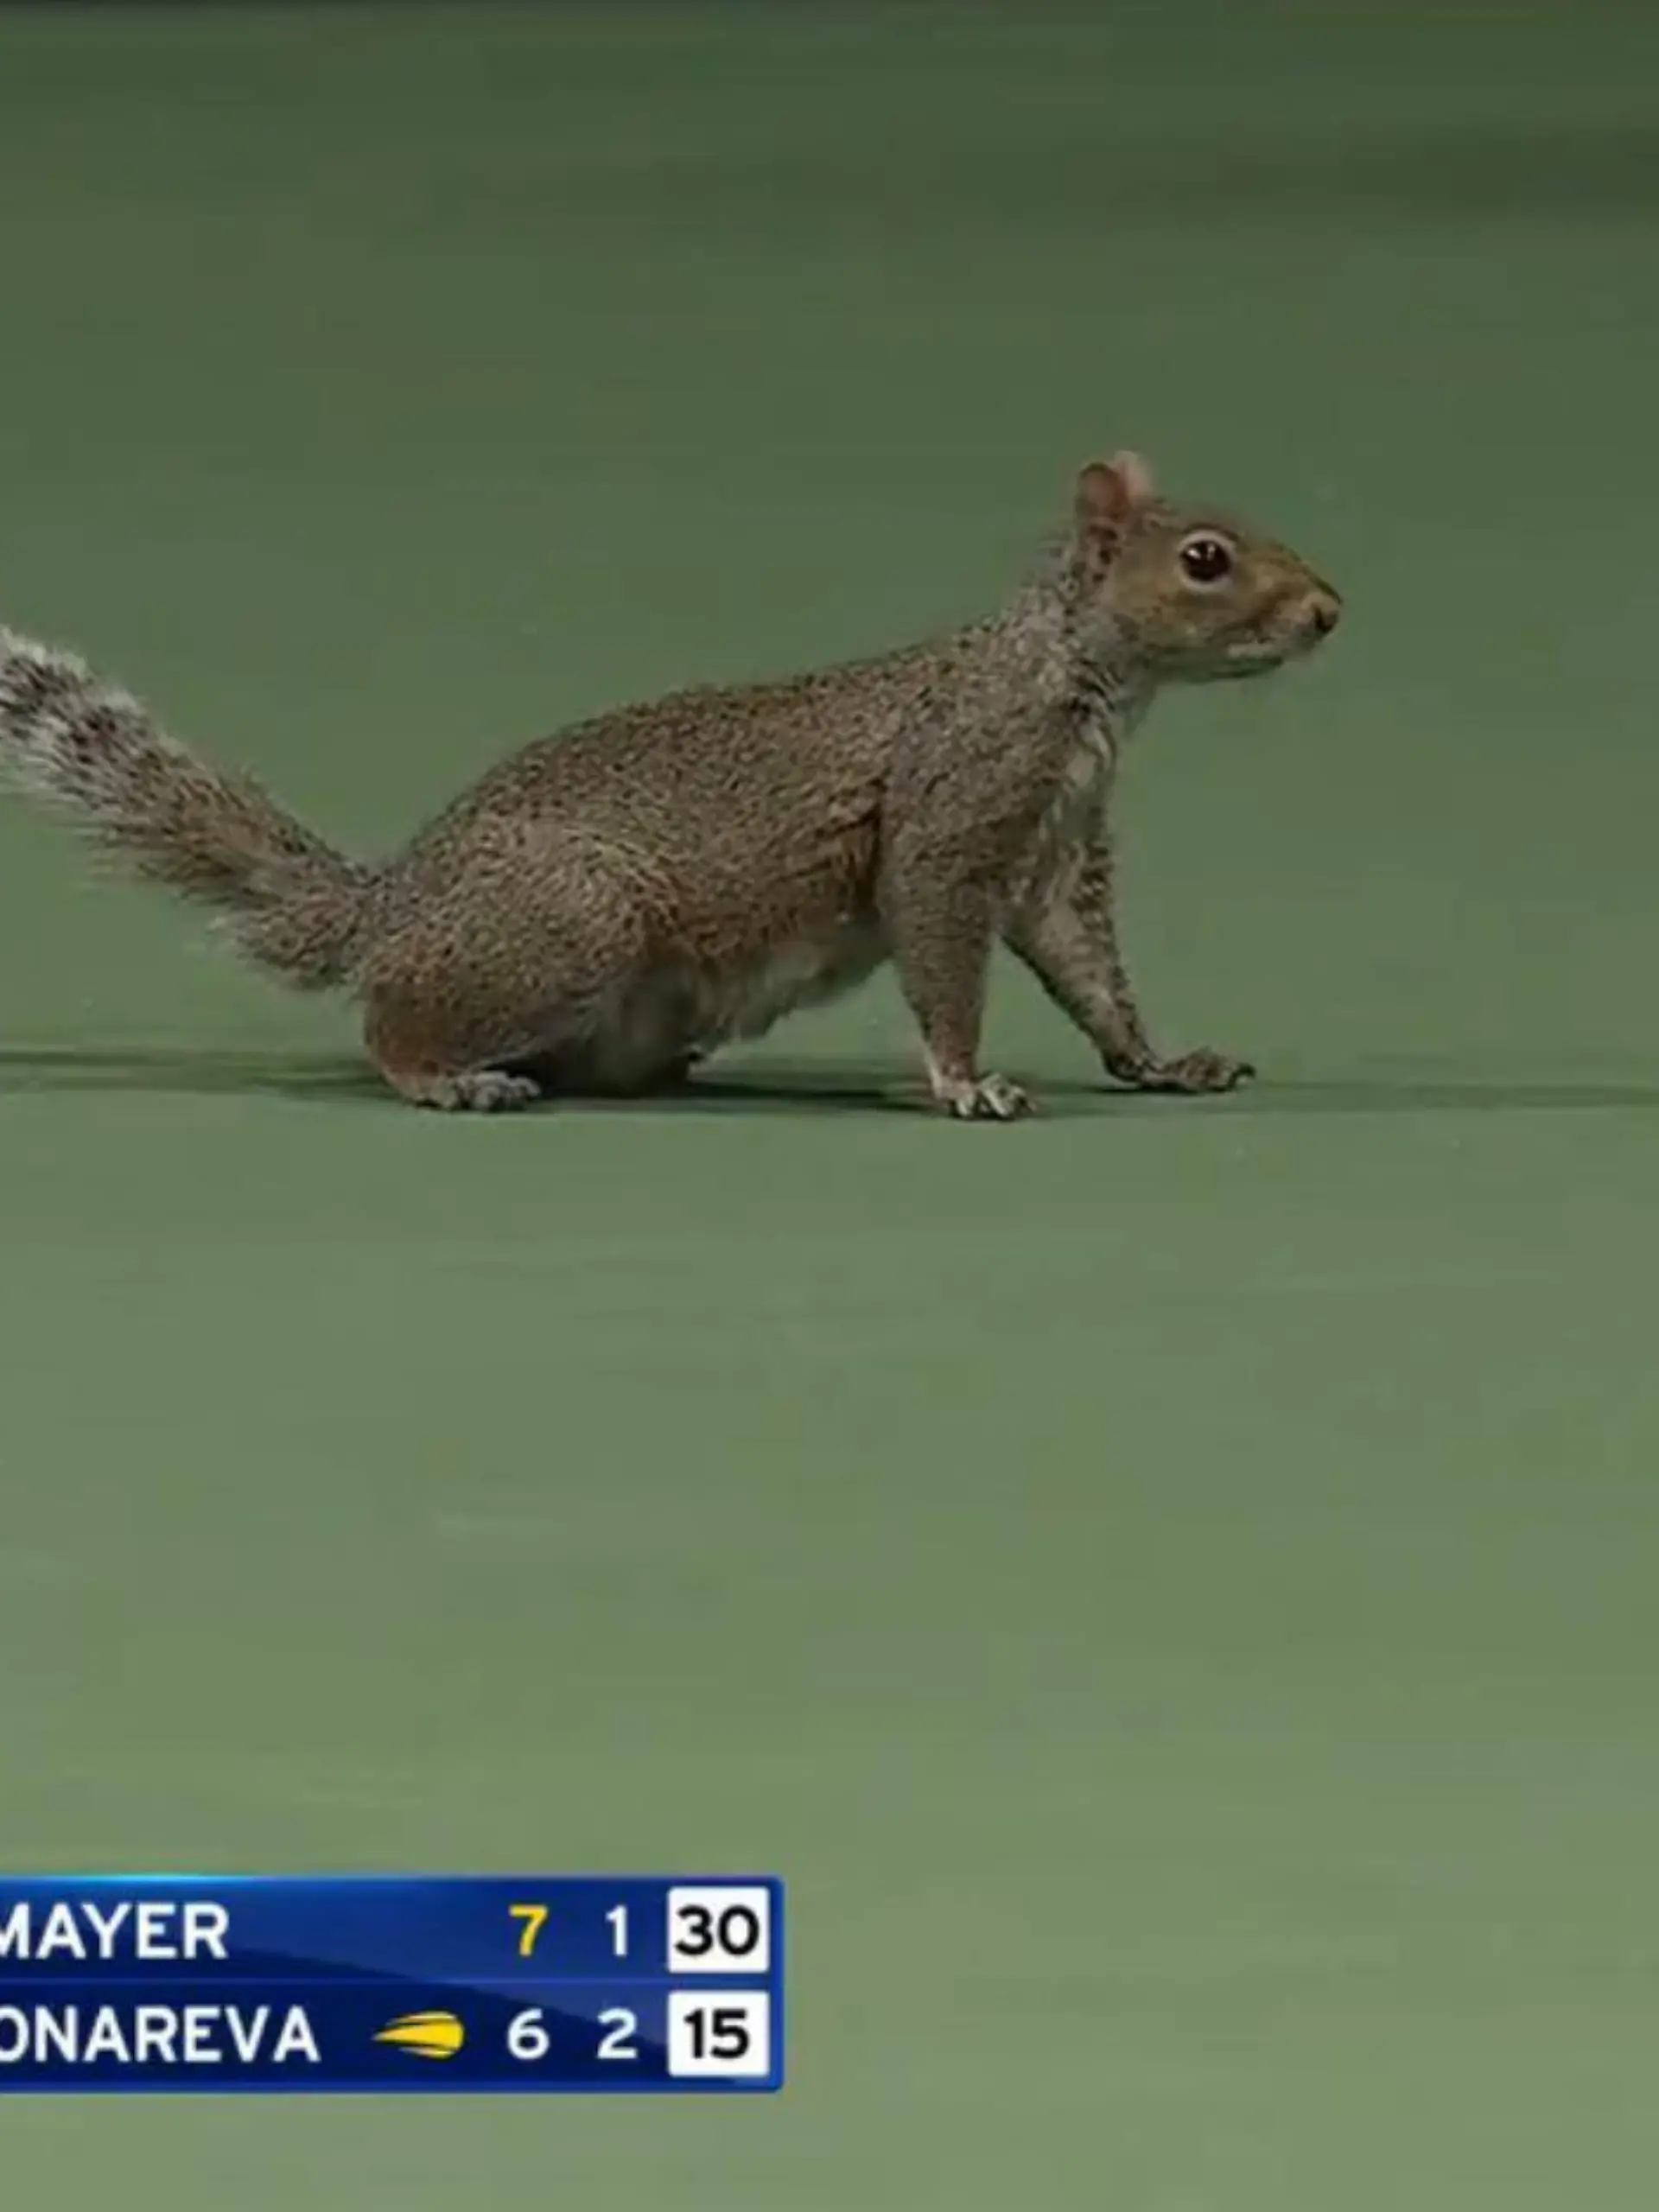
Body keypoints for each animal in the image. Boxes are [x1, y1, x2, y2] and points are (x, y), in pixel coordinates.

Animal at [0, 451, 1338, 1119]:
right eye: (1205, 559)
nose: (1329, 611)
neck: (1076, 679)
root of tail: (392, 909)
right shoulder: (952, 820)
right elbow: (944, 957)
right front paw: (966, 1082)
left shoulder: (1057, 856)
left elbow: (1089, 971)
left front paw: (1160, 1064)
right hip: (571, 926)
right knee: (388, 1024)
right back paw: (450, 1077)